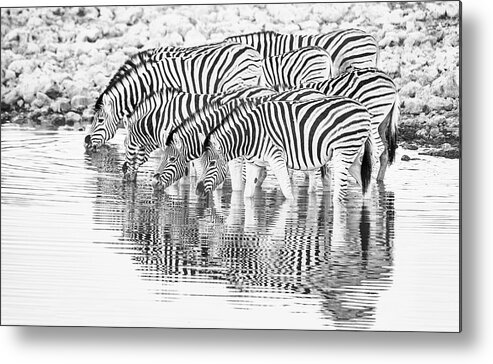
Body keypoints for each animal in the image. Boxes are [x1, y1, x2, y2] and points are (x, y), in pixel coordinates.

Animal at [194, 96, 370, 203]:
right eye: (200, 164)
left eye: (212, 164)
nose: (197, 191)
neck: (250, 134)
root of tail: (363, 108)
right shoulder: (253, 163)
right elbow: (247, 195)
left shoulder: (276, 158)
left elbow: (288, 193)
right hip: (352, 154)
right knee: (364, 185)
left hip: (344, 151)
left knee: (340, 193)